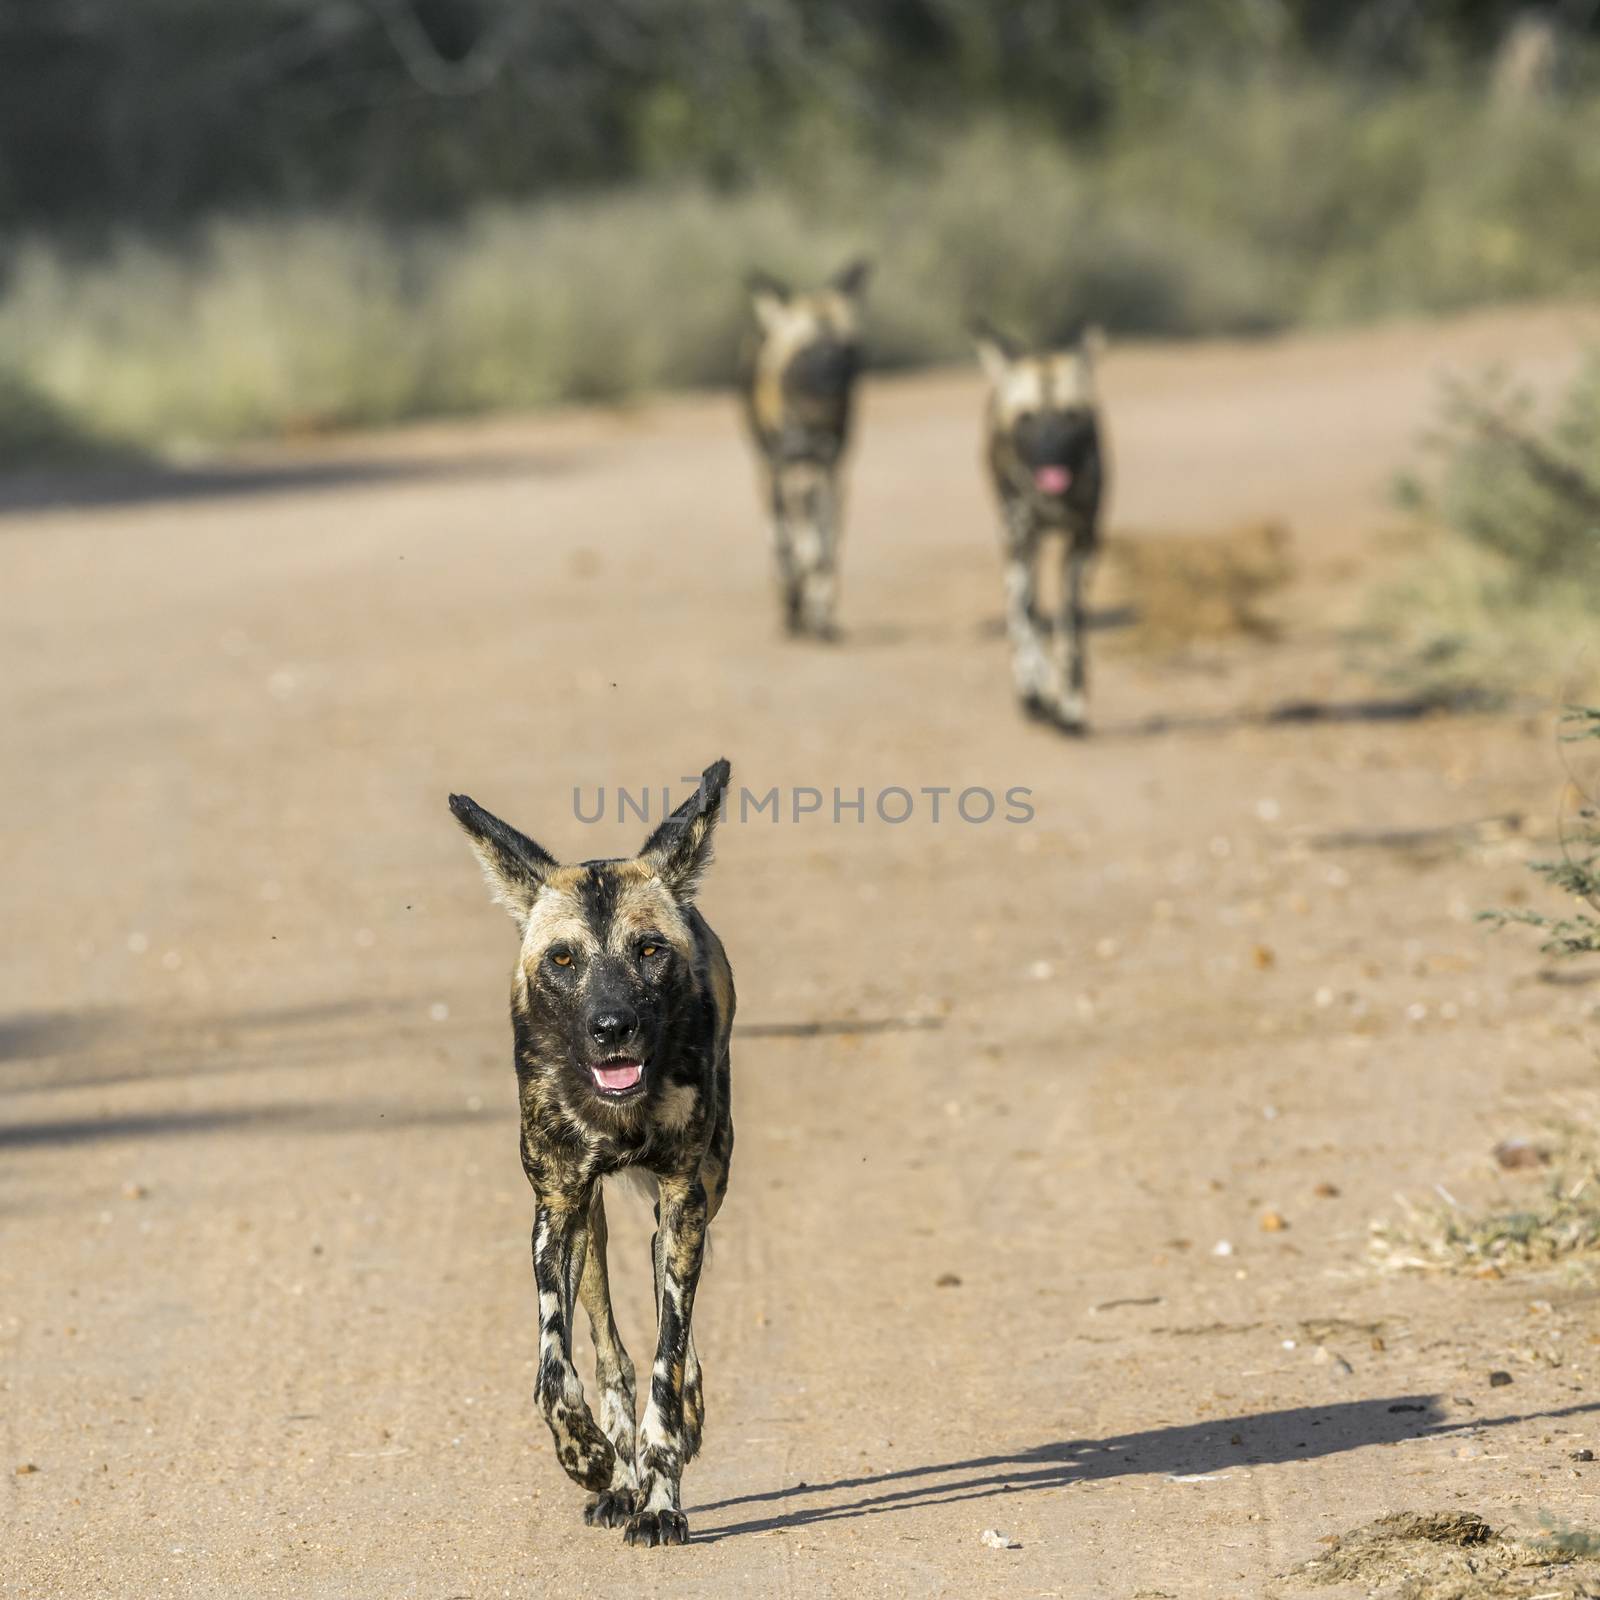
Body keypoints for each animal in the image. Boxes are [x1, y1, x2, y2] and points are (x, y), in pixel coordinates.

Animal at [444, 761, 732, 1548]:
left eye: (650, 951)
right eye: (564, 958)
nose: (612, 1027)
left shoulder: (683, 1198)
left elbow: (667, 1359)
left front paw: (662, 1499)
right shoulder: (557, 1206)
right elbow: (554, 1367)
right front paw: (589, 1457)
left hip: (697, 1201)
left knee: (668, 1327)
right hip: (590, 1226)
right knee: (609, 1349)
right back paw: (618, 1477)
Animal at [739, 259, 870, 640]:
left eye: (847, 349)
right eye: (806, 351)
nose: (834, 384)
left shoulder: (830, 468)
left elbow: (825, 545)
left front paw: (821, 610)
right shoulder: (782, 468)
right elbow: (788, 543)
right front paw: (795, 602)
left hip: (810, 472)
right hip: (773, 471)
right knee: (782, 528)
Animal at [966, 313, 1107, 736]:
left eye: (1069, 416)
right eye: (1026, 418)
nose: (1050, 455)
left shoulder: (1081, 544)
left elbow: (1070, 624)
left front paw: (1071, 704)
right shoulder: (1021, 541)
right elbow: (1027, 620)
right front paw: (1036, 692)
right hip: (1016, 546)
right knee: (1019, 613)